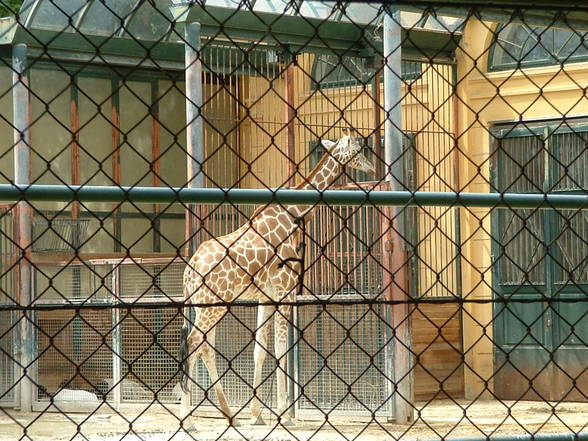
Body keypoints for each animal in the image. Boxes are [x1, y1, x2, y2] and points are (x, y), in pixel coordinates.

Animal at [177, 134, 374, 426]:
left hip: (205, 305)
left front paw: (256, 415)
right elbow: (282, 349)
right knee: (193, 344)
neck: (293, 213)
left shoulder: (265, 296)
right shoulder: (285, 290)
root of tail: (189, 271)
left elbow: (260, 349)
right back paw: (188, 419)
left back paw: (229, 415)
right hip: (213, 304)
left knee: (204, 347)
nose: (372, 170)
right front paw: (283, 413)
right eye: (360, 151)